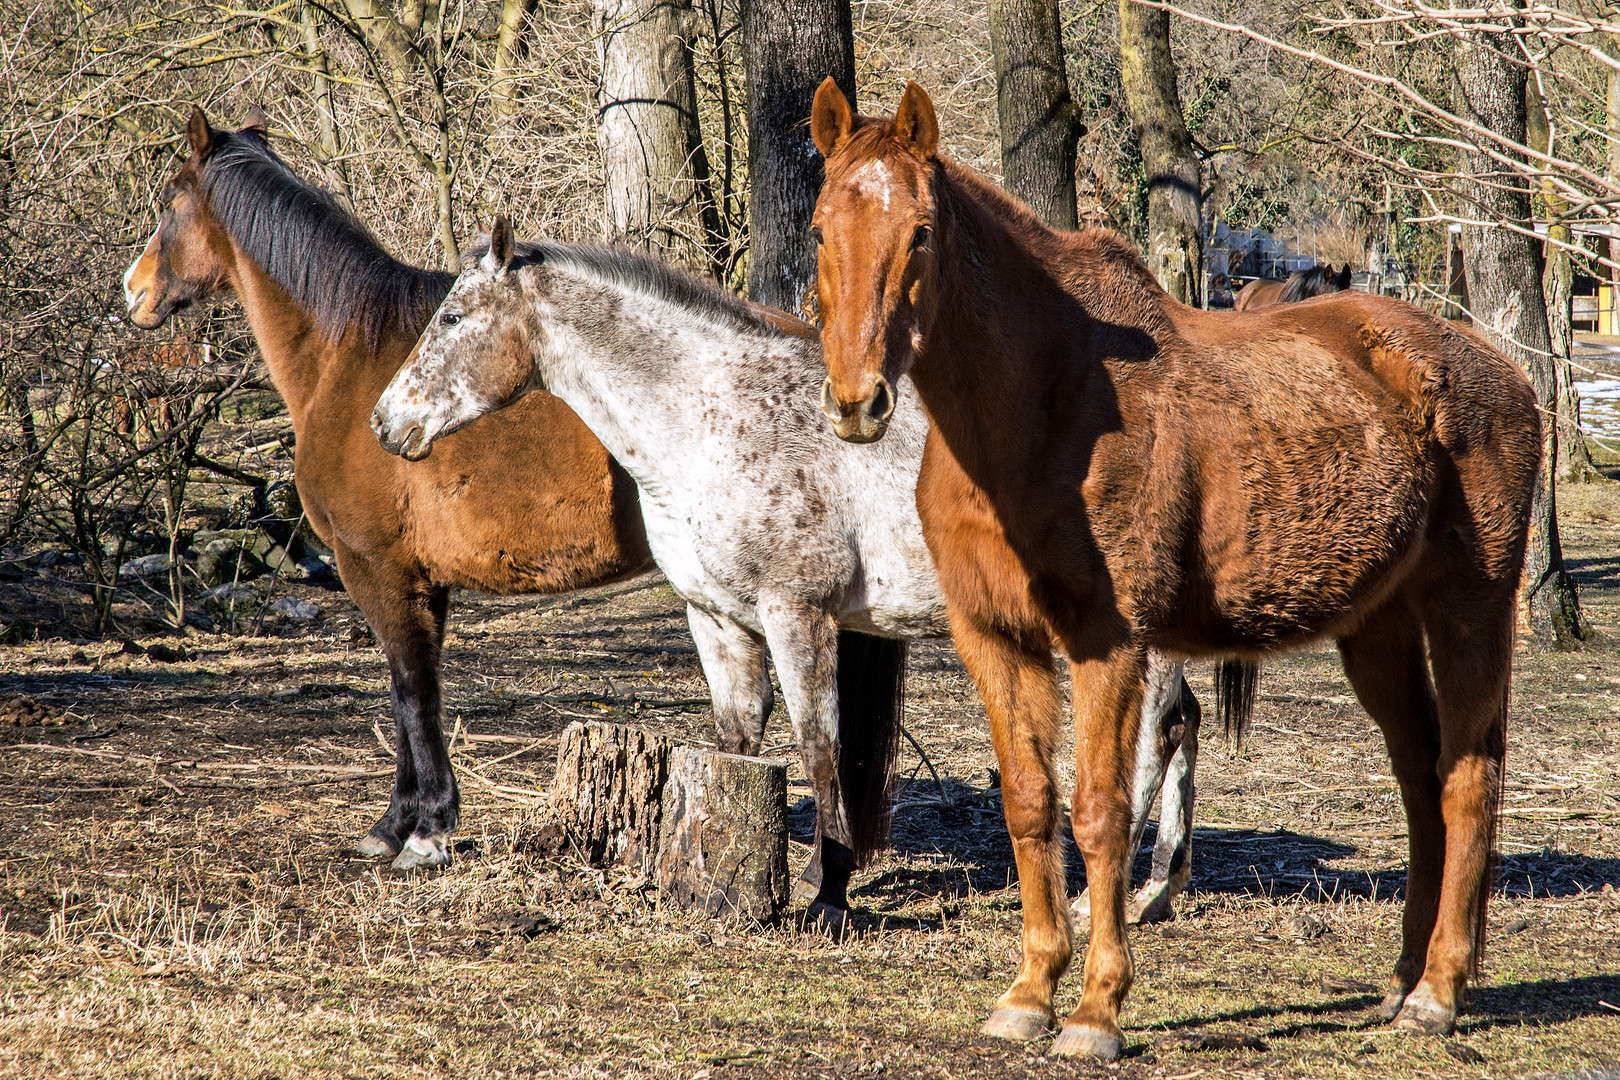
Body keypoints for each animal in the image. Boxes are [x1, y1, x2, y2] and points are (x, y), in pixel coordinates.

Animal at [364, 220, 1205, 932]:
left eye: (452, 319)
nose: (384, 423)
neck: (713, 418)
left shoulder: (797, 614)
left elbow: (818, 746)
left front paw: (828, 893)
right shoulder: (716, 617)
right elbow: (738, 740)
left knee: (1150, 737)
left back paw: (1105, 901)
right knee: (1181, 726)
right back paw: (1158, 889)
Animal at [803, 80, 1535, 1062]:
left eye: (920, 232)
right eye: (819, 229)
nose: (857, 402)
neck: (1043, 403)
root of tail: (1503, 372)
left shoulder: (1108, 645)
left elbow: (1101, 810)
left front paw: (1096, 1011)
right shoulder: (993, 638)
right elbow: (1029, 805)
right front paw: (1028, 994)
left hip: (1469, 611)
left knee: (1466, 779)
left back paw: (1441, 992)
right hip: (1375, 629)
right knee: (1422, 778)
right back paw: (1402, 980)